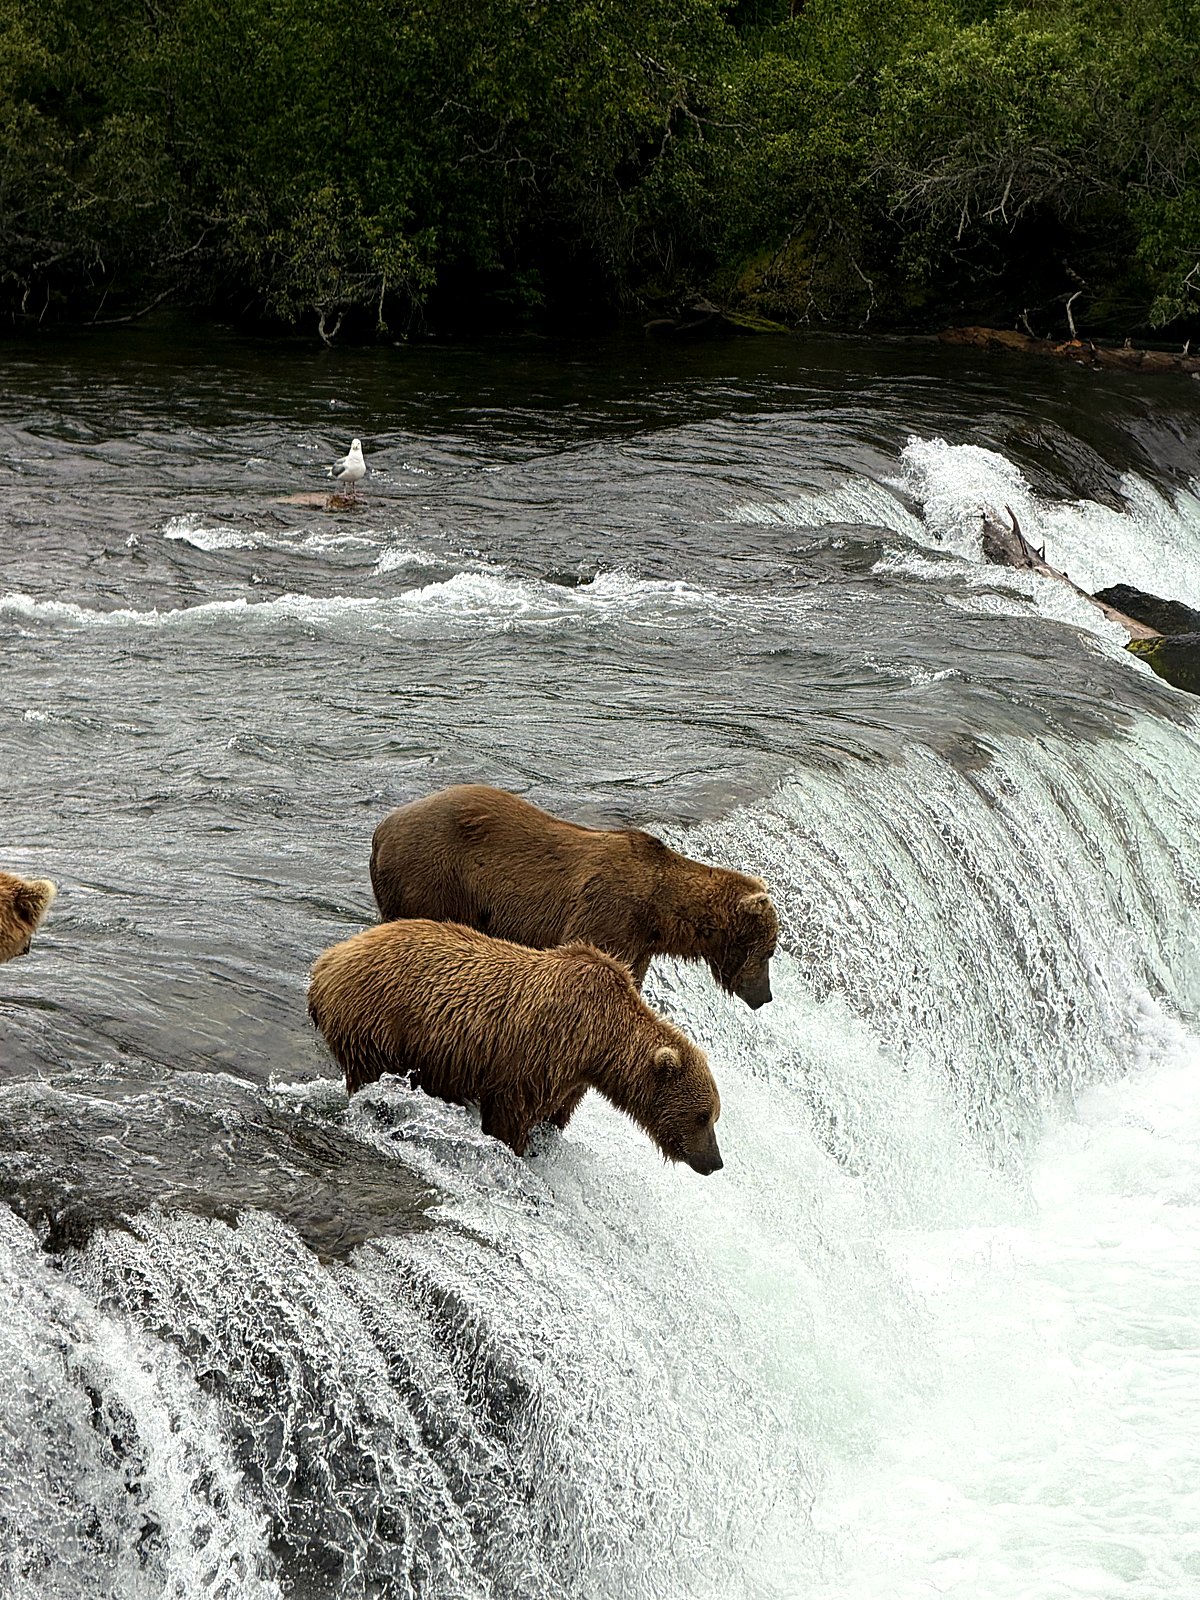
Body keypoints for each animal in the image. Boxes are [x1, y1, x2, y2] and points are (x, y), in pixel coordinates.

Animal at [307, 918, 724, 1172]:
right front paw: (515, 1149)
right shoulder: (538, 1054)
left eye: (714, 1116)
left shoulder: (571, 1079)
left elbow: (555, 1115)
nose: (714, 1161)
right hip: (376, 1023)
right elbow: (511, 1115)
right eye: (702, 1116)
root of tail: (326, 961)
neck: (599, 1043)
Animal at [369, 785, 778, 1009]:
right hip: (434, 875)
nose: (766, 996)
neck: (663, 912)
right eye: (769, 952)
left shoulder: (639, 945)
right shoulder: (610, 913)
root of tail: (382, 829)